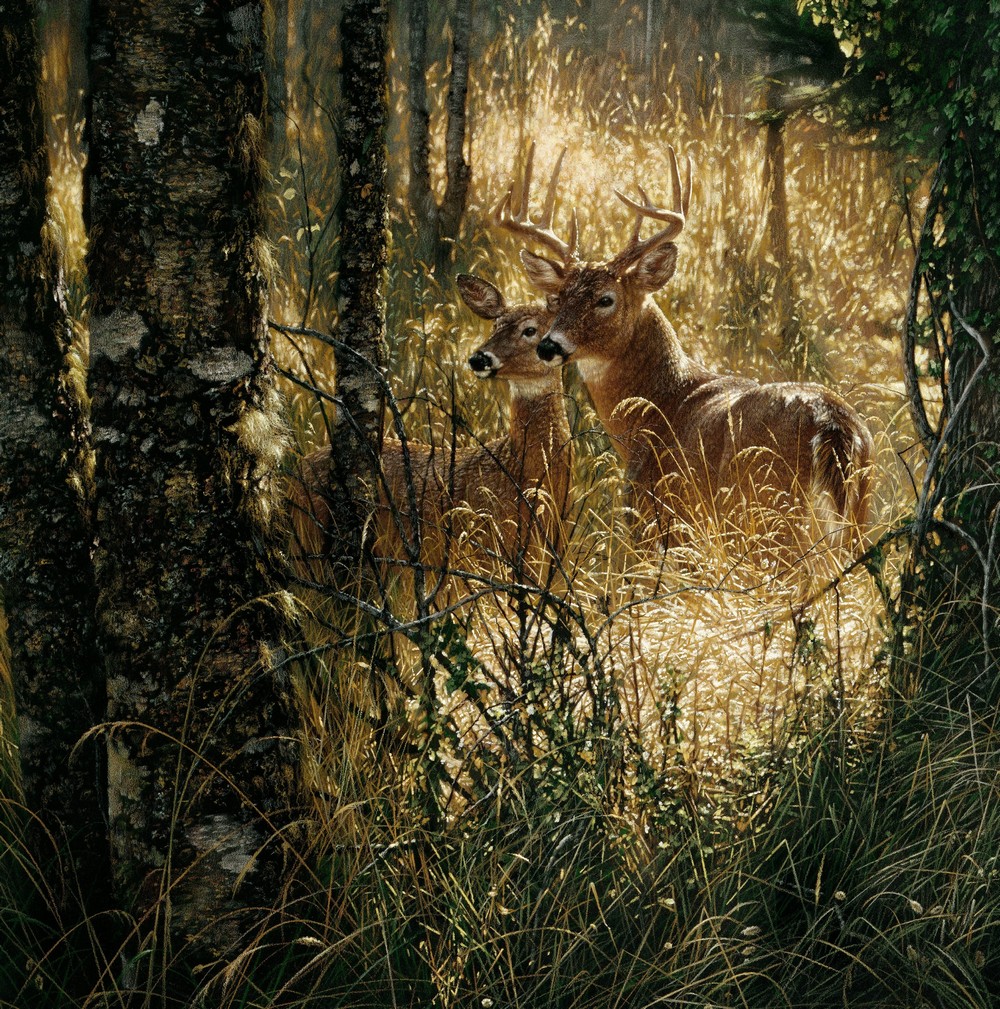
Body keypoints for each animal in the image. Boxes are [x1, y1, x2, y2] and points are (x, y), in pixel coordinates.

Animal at [496, 146, 871, 561]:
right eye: (557, 299)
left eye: (606, 299)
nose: (549, 345)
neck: (657, 404)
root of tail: (833, 426)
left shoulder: (658, 520)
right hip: (857, 518)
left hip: (770, 519)